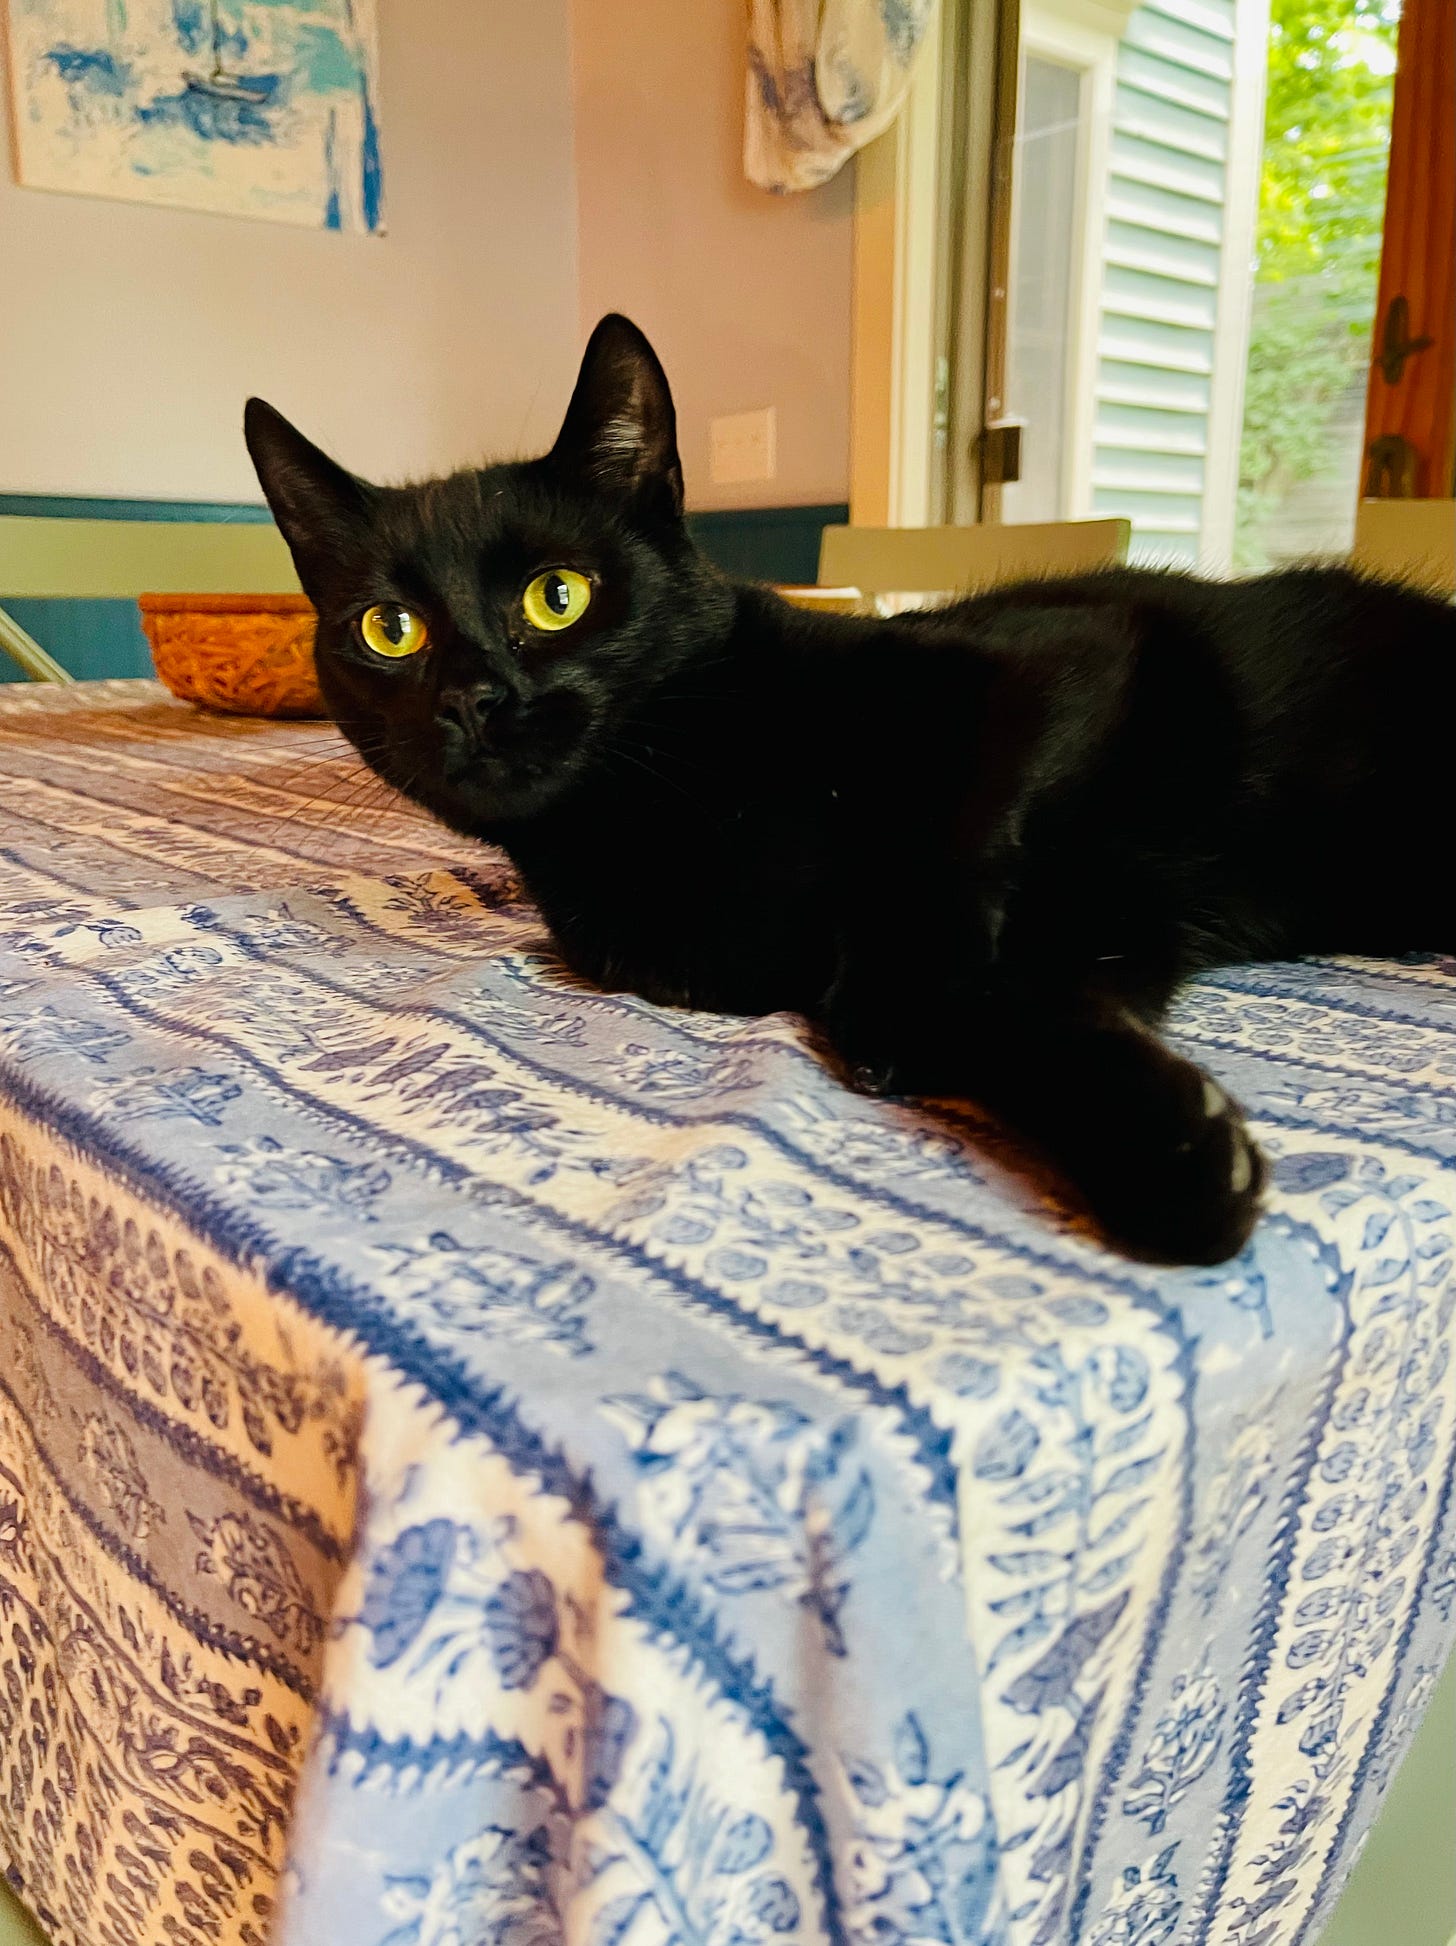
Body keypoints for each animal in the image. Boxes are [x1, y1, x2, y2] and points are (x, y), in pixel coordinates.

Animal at [244, 315, 1448, 1261]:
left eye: (557, 596)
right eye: (389, 630)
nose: (473, 698)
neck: (670, 809)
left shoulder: (1063, 662)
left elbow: (936, 878)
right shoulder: (1097, 938)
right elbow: (1016, 1006)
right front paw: (1170, 1152)